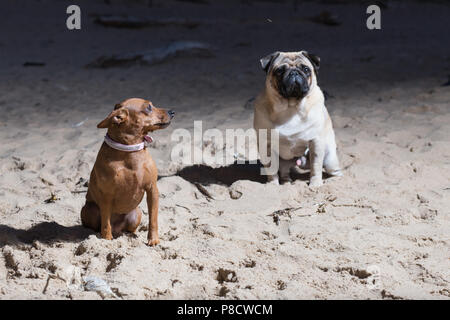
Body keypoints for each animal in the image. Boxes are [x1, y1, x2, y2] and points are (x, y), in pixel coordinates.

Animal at [81, 97, 174, 245]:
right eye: (148, 107)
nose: (172, 111)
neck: (130, 151)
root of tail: (117, 228)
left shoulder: (152, 190)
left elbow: (153, 219)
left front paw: (153, 239)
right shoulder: (106, 195)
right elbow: (105, 223)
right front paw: (106, 240)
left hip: (136, 214)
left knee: (128, 229)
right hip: (89, 210)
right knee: (99, 225)